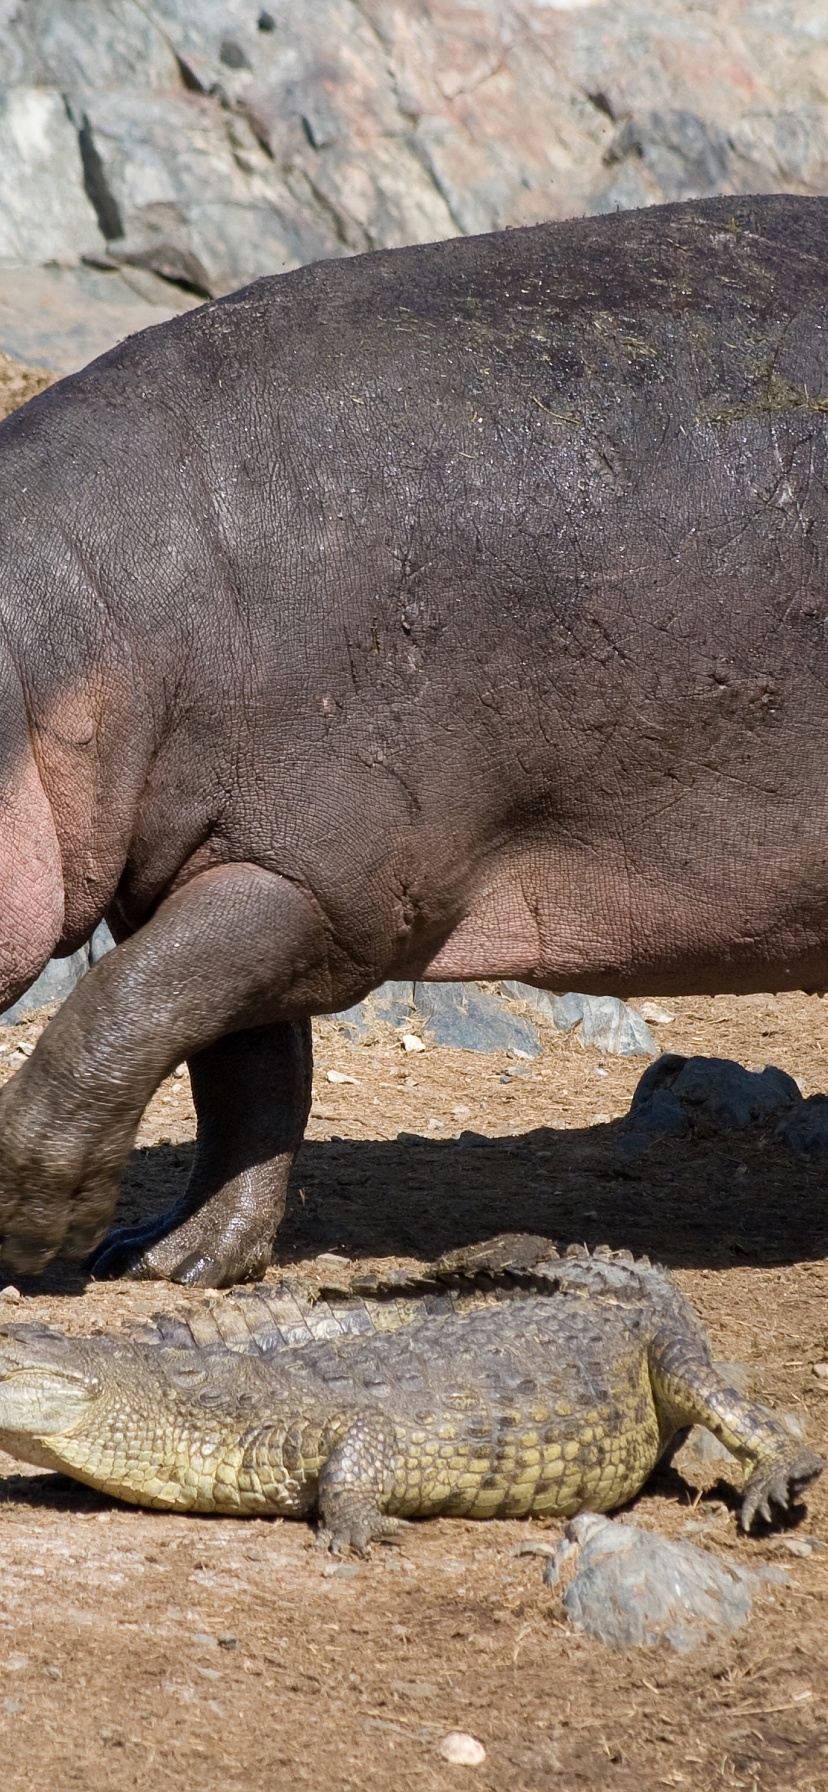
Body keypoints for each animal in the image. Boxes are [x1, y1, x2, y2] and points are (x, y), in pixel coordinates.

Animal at [1, 196, 828, 1290]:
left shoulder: (326, 880)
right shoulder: (239, 863)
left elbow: (120, 1009)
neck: (63, 639)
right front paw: (166, 1258)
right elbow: (240, 1067)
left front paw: (35, 1224)